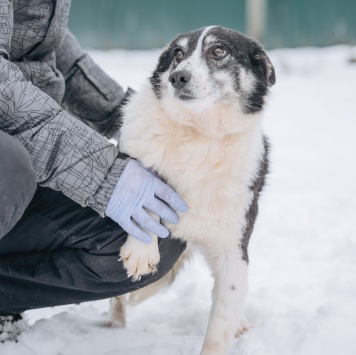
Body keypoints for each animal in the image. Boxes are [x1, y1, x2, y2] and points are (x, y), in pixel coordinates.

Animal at [108, 25, 276, 355]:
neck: (202, 134)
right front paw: (141, 250)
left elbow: (220, 326)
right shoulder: (136, 161)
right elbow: (144, 189)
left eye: (219, 51)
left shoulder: (234, 252)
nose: (178, 77)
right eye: (178, 54)